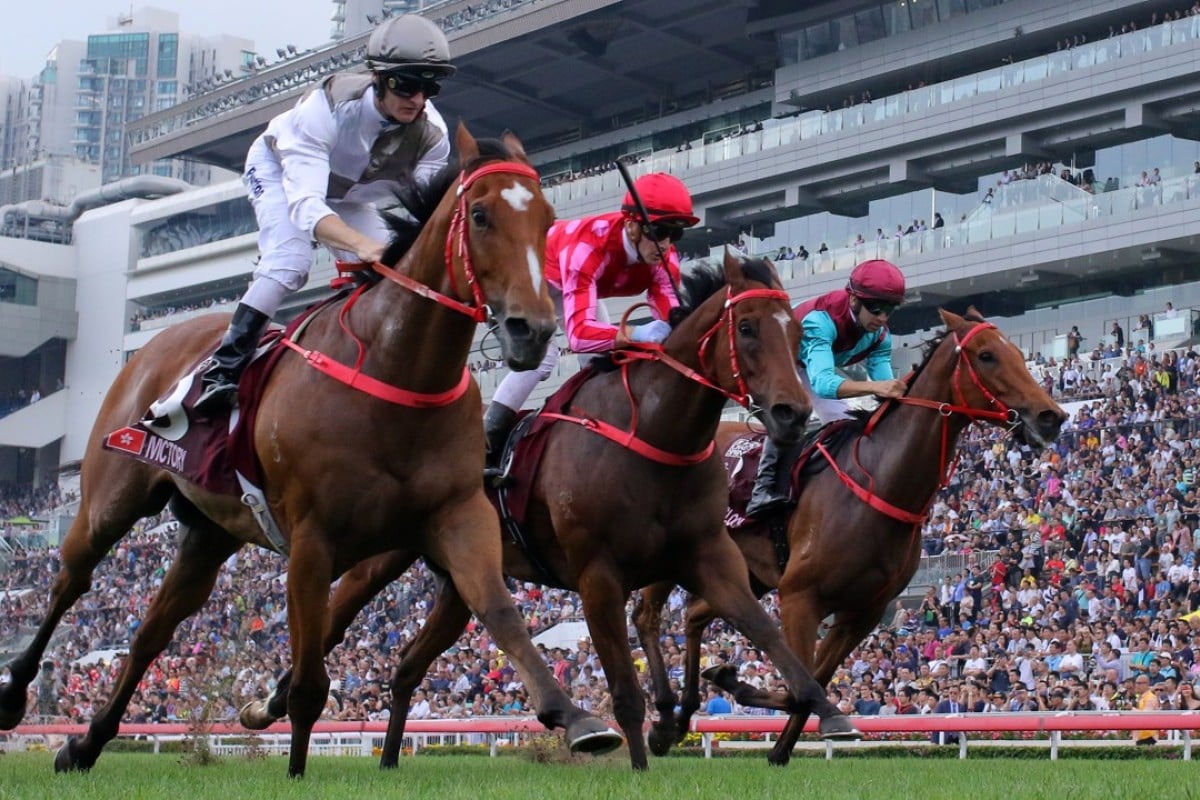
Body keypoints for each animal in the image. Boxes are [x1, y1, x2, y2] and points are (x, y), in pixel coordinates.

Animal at [0, 126, 624, 777]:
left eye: (549, 219)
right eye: (480, 215)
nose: (534, 329)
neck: (397, 369)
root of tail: (155, 343)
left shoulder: (458, 515)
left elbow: (500, 609)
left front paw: (577, 719)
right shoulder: (311, 537)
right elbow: (308, 682)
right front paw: (295, 769)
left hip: (211, 530)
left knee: (153, 628)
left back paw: (87, 742)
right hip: (112, 496)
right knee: (69, 580)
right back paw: (14, 694)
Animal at [238, 251, 864, 767]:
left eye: (797, 332)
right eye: (749, 327)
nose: (791, 412)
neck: (654, 431)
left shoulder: (710, 556)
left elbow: (768, 633)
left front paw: (829, 712)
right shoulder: (597, 573)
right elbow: (625, 692)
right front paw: (640, 764)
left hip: (456, 579)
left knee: (407, 666)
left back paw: (389, 759)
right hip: (379, 554)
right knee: (333, 619)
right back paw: (268, 705)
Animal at [638, 307, 1070, 762]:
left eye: (1019, 354)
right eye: (987, 355)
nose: (1050, 417)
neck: (881, 482)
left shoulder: (863, 612)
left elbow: (813, 681)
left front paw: (773, 739)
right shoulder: (800, 597)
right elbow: (803, 682)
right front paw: (737, 690)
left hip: (744, 574)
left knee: (693, 615)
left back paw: (683, 713)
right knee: (647, 616)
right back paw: (663, 722)